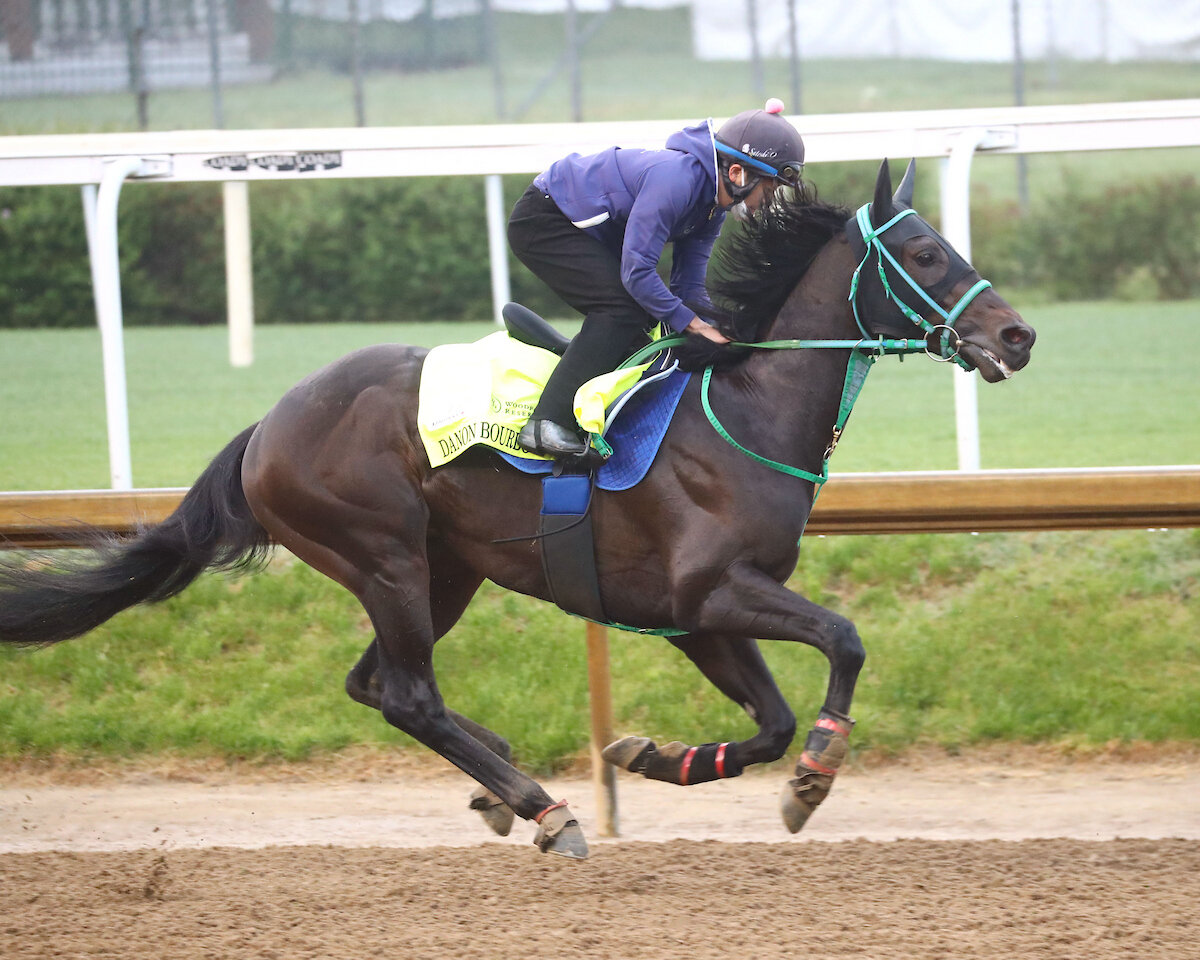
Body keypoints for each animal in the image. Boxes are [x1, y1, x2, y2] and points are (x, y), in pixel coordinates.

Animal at [0, 159, 1035, 859]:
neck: (741, 407)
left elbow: (772, 718)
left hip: (443, 570)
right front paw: (815, 779)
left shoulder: (694, 617)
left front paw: (656, 756)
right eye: (926, 251)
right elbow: (844, 642)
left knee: (376, 684)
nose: (1018, 334)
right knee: (408, 694)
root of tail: (267, 427)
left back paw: (501, 782)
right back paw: (544, 805)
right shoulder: (712, 593)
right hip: (383, 554)